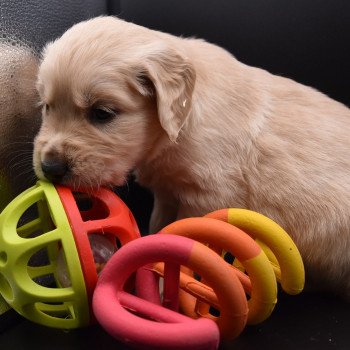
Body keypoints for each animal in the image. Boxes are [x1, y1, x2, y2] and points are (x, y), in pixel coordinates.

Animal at [33, 16, 350, 298]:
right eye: (47, 106)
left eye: (102, 113)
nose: (50, 167)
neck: (177, 127)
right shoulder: (167, 193)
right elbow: (159, 227)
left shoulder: (206, 196)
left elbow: (181, 238)